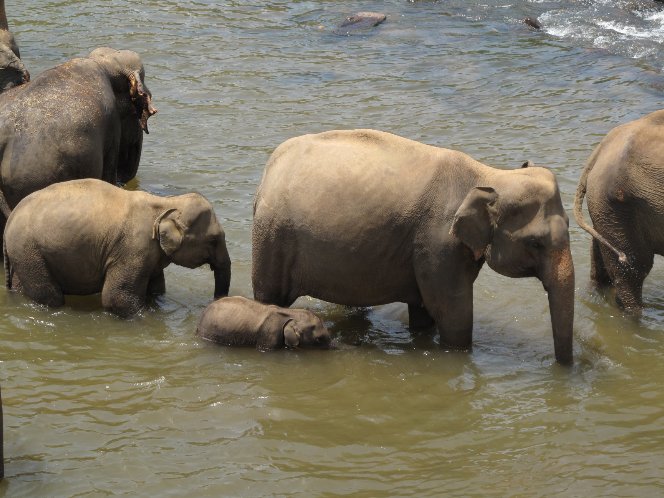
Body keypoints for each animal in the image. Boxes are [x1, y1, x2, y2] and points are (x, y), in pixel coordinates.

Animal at [3, 181, 231, 318]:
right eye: (213, 240)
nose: (214, 302)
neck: (166, 203)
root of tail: (10, 218)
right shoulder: (133, 248)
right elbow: (116, 299)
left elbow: (157, 288)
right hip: (28, 250)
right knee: (51, 297)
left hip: (24, 254)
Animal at [254, 128, 576, 364]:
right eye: (535, 243)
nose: (561, 369)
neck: (489, 175)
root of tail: (269, 169)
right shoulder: (438, 244)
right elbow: (453, 315)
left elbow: (423, 310)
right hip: (272, 237)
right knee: (269, 296)